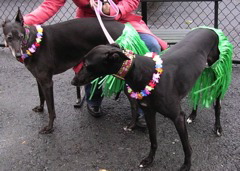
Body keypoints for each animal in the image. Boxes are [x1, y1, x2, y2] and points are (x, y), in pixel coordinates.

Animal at [72, 28, 221, 170]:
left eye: (87, 65)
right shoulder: (149, 111)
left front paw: (187, 165)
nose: (73, 82)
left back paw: (218, 127)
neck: (144, 72)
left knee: (217, 104)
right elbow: (153, 139)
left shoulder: (178, 117)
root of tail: (209, 29)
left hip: (216, 72)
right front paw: (149, 160)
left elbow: (186, 146)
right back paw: (193, 115)